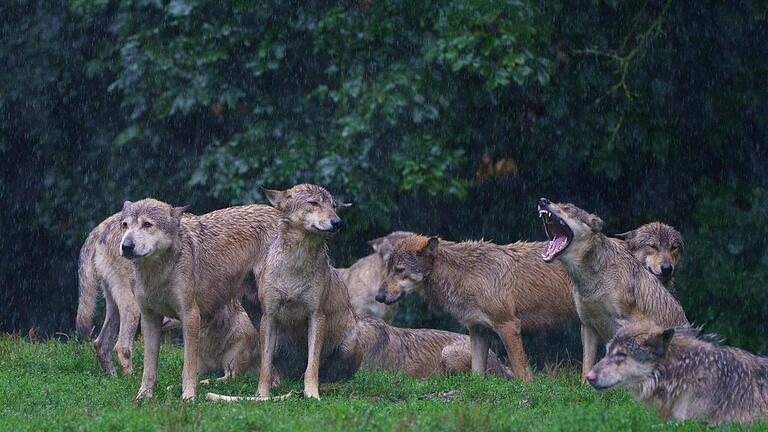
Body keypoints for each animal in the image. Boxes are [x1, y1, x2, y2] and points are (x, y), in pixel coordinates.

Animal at [118, 197, 278, 400]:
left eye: (147, 224)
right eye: (125, 225)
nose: (126, 246)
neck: (157, 274)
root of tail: (278, 213)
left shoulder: (190, 315)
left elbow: (188, 367)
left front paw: (188, 397)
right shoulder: (149, 318)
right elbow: (149, 368)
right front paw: (143, 396)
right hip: (256, 314)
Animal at [376, 233, 580, 382]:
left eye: (400, 270)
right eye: (388, 269)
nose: (379, 296)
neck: (466, 275)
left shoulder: (508, 325)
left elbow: (521, 372)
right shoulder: (478, 329)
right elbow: (476, 375)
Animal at [536, 197, 688, 384]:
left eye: (567, 208)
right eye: (559, 204)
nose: (543, 200)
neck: (593, 279)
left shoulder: (625, 325)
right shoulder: (587, 325)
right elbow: (587, 366)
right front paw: (587, 387)